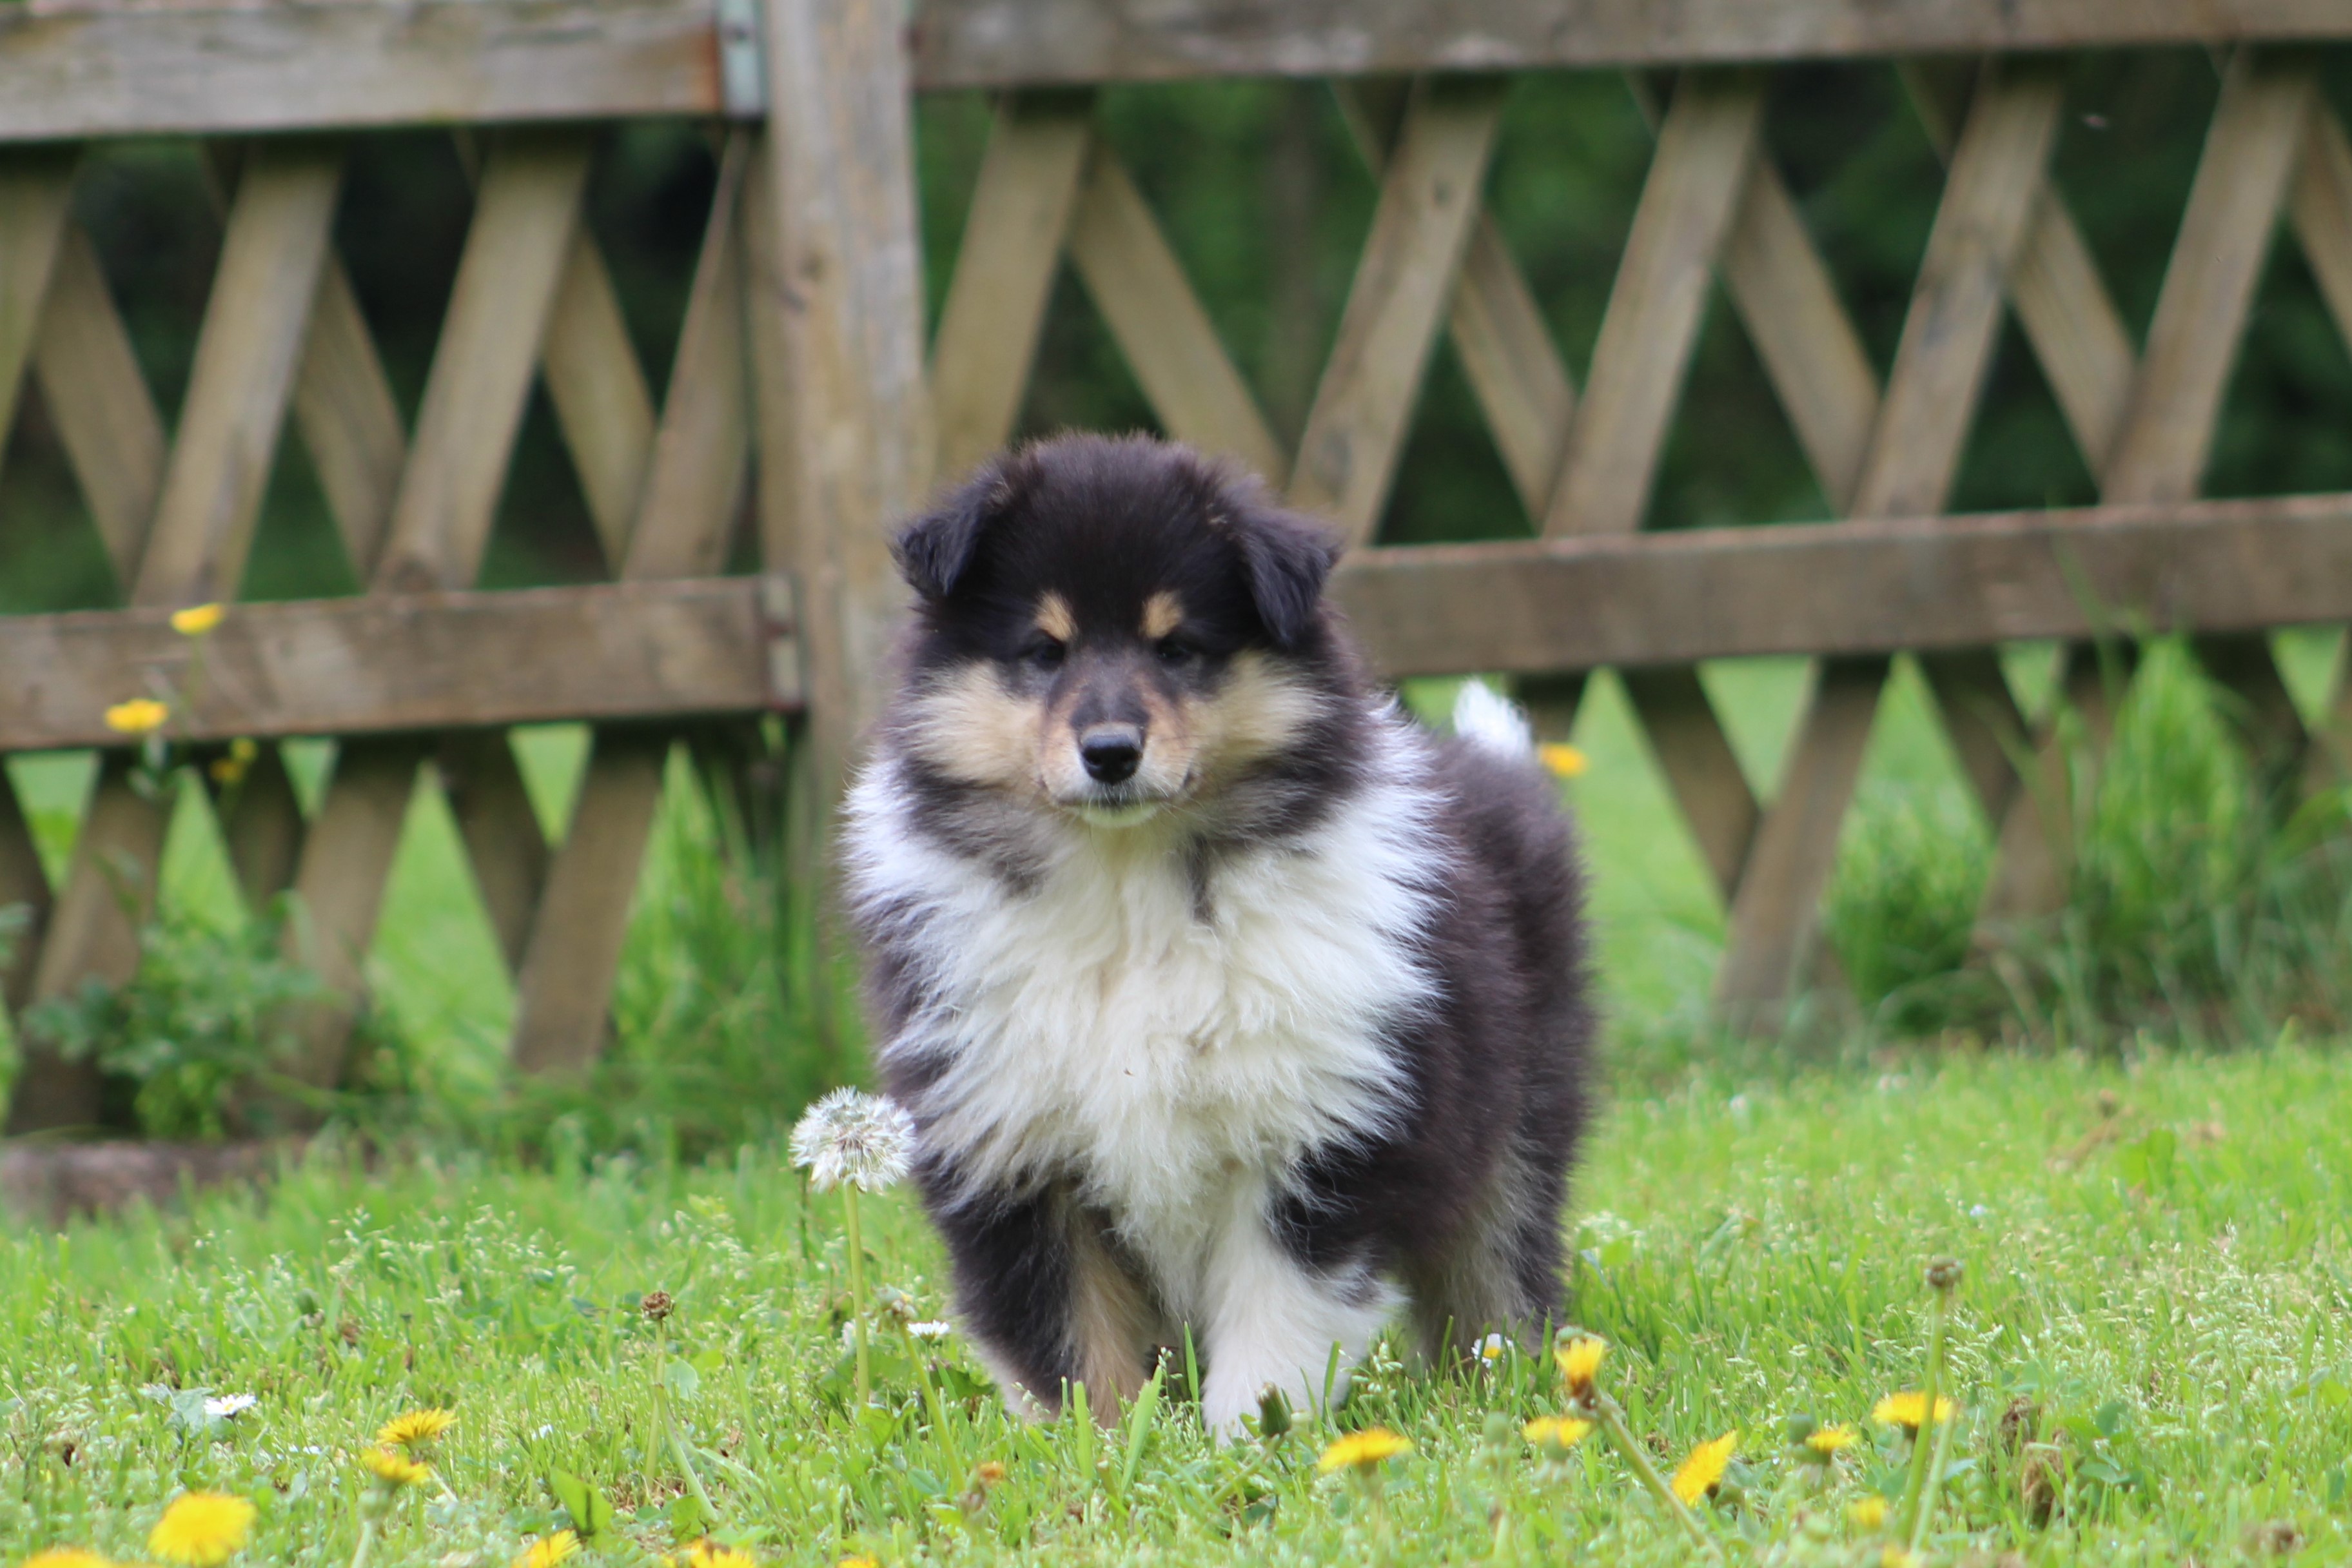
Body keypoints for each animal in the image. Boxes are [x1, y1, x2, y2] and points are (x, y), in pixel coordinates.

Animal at [847, 432, 1599, 1438]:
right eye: (1043, 651)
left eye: (1179, 648)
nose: (1111, 752)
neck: (1129, 891)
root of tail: (1493, 767)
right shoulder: (1010, 1147)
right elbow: (1066, 1343)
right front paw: (1097, 1453)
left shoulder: (1316, 1132)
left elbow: (1277, 1321)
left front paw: (1247, 1442)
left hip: (1518, 1109)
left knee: (1500, 1261)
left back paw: (1512, 1386)